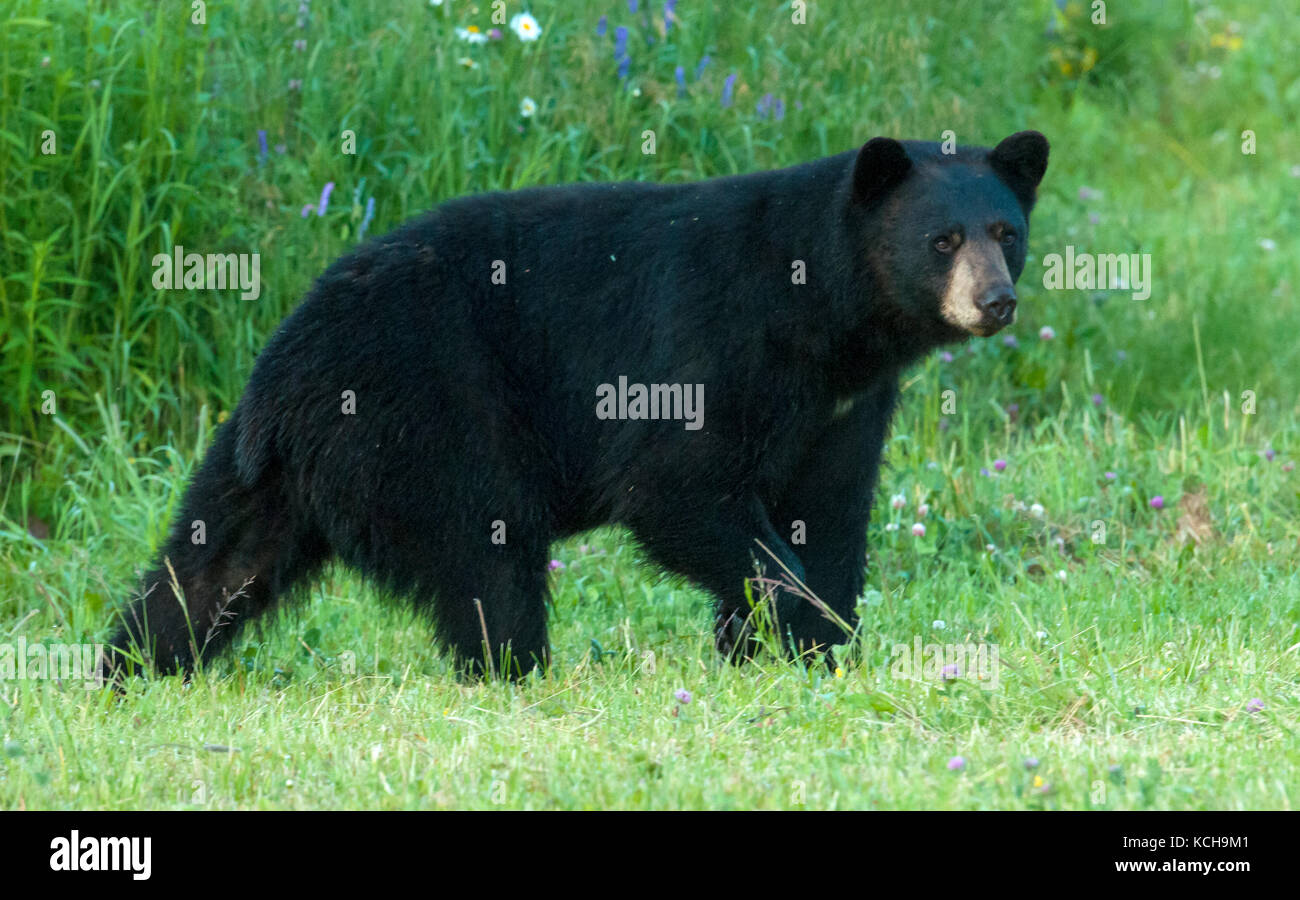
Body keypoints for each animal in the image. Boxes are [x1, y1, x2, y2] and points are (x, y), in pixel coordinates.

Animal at [109, 130, 1045, 676]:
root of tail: (287, 358)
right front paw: (796, 629)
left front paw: (798, 648)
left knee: (214, 563)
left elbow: (832, 512)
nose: (995, 301)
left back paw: (132, 664)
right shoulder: (710, 344)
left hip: (271, 465)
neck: (823, 315)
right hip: (429, 415)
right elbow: (680, 488)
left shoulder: (844, 405)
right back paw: (515, 670)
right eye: (943, 239)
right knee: (489, 557)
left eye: (1007, 232)